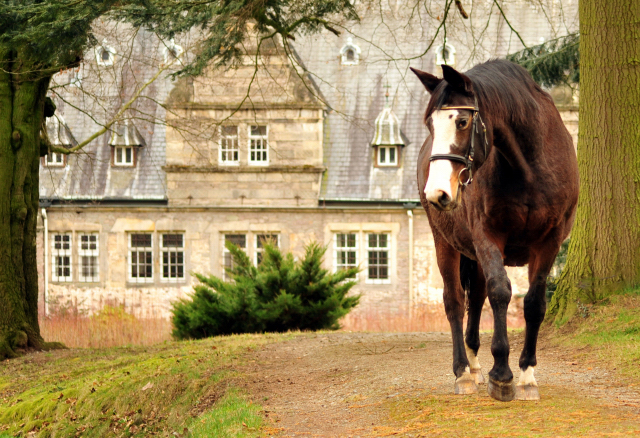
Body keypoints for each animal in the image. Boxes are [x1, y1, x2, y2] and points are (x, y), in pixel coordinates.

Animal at [410, 60, 580, 402]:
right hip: (444, 243)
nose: (437, 193)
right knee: (455, 301)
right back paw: (463, 371)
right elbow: (500, 291)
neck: (529, 169)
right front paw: (501, 373)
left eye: (462, 121)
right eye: (430, 125)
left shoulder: (549, 242)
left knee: (475, 298)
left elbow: (534, 303)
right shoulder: (488, 237)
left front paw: (527, 374)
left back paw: (475, 363)